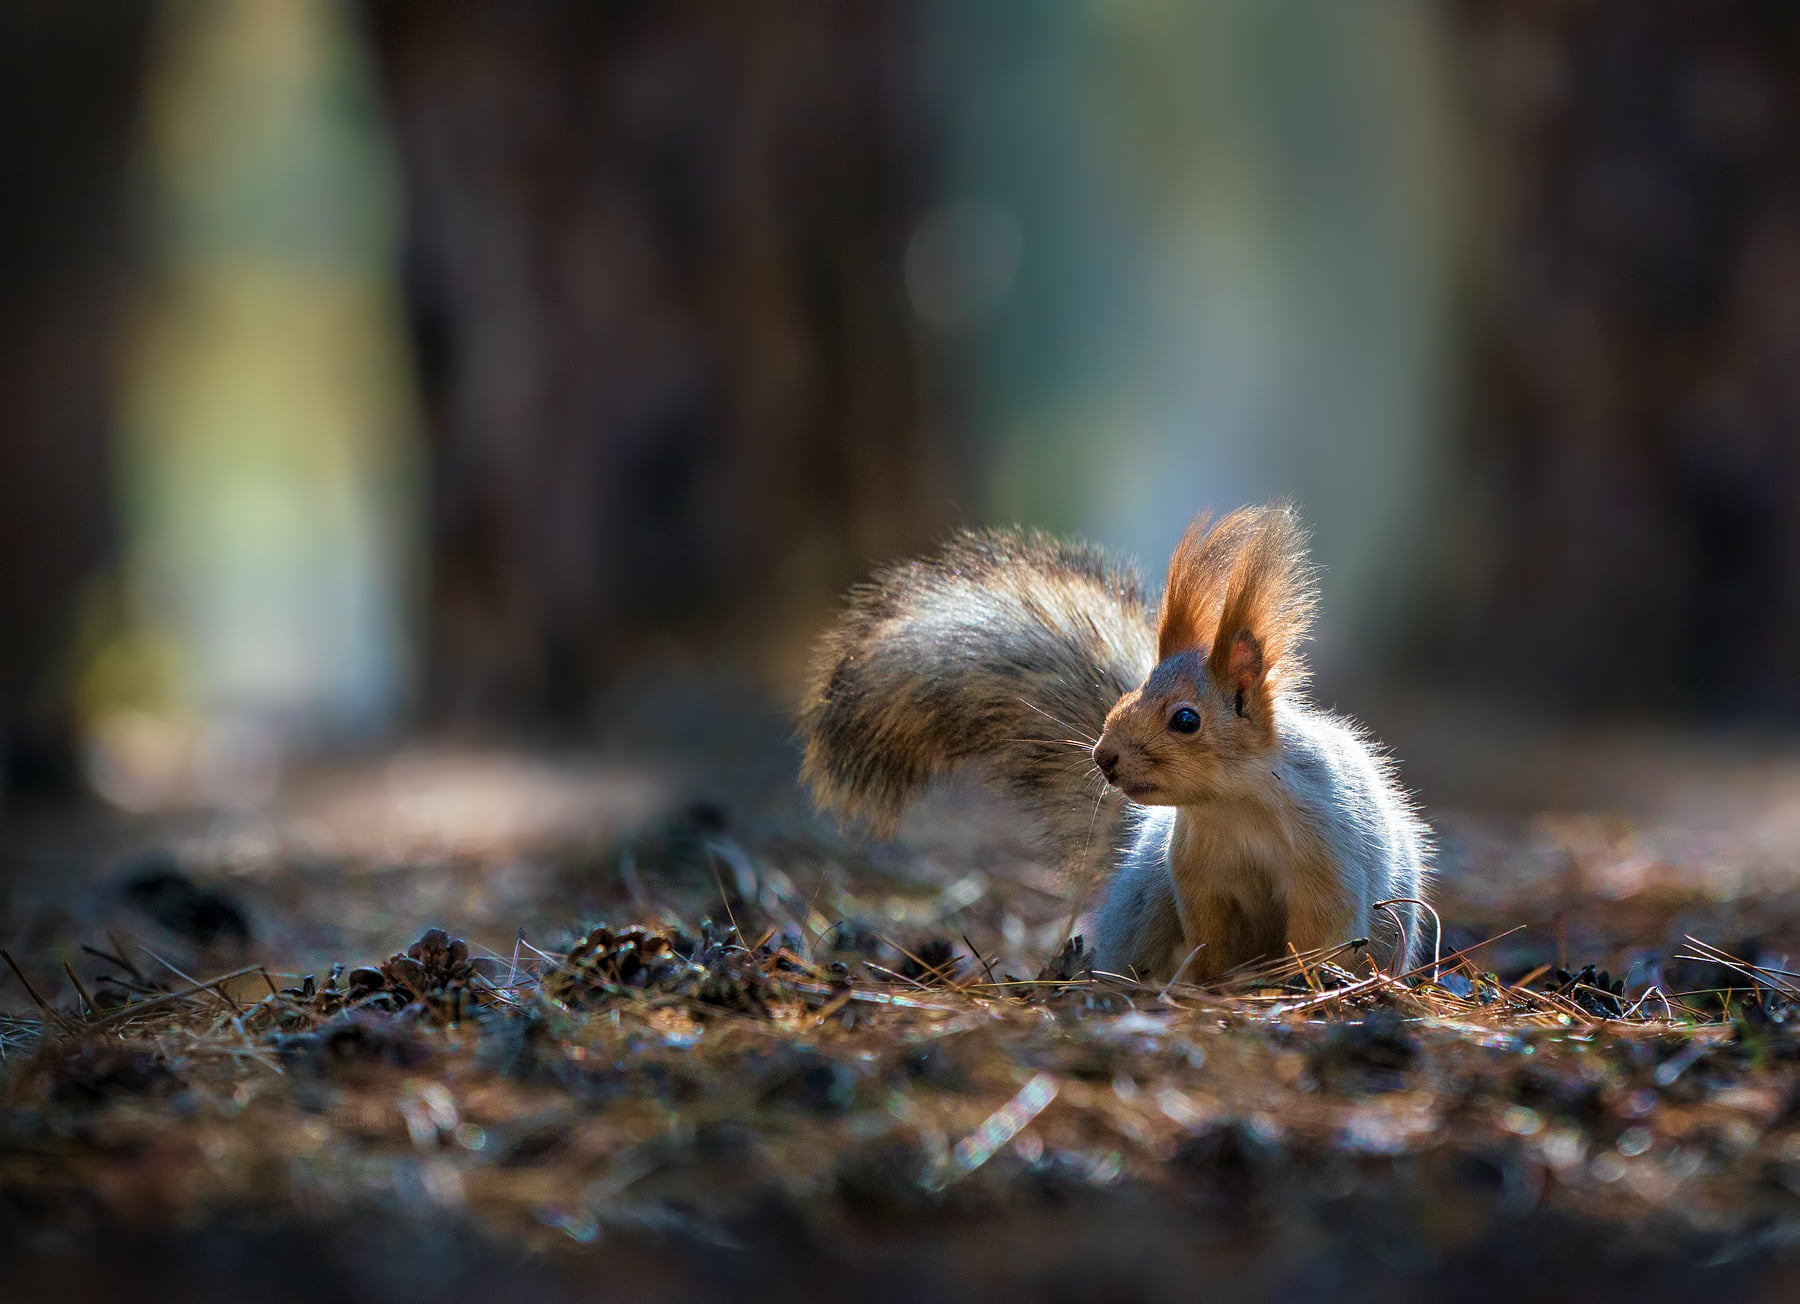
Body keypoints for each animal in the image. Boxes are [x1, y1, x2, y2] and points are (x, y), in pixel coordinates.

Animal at [802, 504, 1432, 979]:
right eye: (1121, 703)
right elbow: (1212, 942)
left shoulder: (1327, 863)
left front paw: (1301, 980)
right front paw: (1212, 985)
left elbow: (1321, 932)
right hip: (1149, 892)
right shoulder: (1198, 883)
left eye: (1186, 720)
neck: (1233, 806)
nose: (1103, 758)